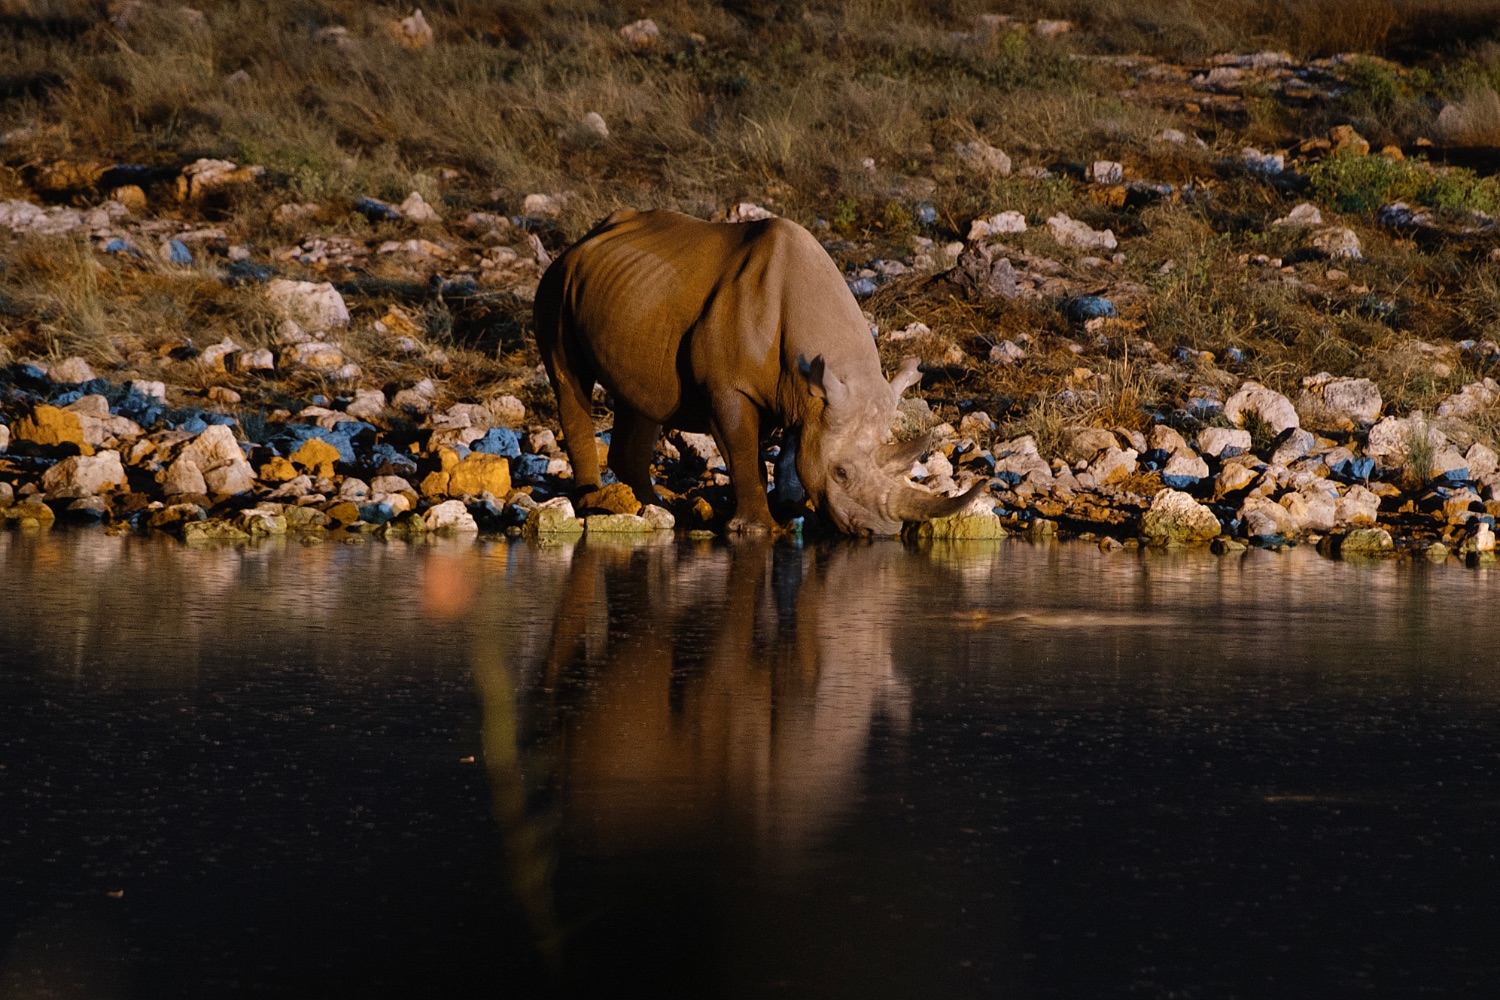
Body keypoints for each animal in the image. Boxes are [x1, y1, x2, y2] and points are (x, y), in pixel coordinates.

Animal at [532, 208, 985, 535]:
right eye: (841, 473)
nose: (881, 532)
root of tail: (582, 241)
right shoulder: (731, 388)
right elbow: (743, 452)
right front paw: (758, 529)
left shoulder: (810, 395)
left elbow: (791, 455)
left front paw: (791, 510)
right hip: (556, 282)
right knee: (570, 380)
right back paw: (592, 502)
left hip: (635, 294)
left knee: (642, 396)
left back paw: (658, 508)